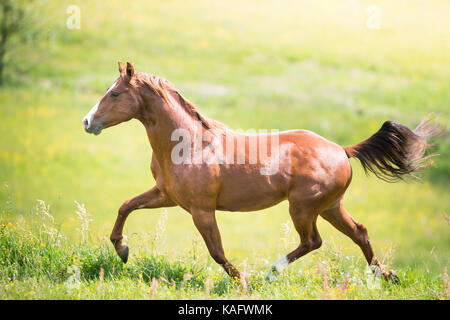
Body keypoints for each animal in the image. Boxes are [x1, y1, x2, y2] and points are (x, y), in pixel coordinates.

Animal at [82, 62, 442, 282]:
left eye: (115, 93)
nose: (87, 121)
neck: (190, 143)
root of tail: (342, 149)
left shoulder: (201, 209)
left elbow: (216, 251)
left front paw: (243, 280)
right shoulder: (166, 195)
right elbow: (126, 206)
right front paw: (122, 249)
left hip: (303, 207)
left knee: (312, 241)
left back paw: (270, 272)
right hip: (330, 207)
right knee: (360, 233)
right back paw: (386, 276)